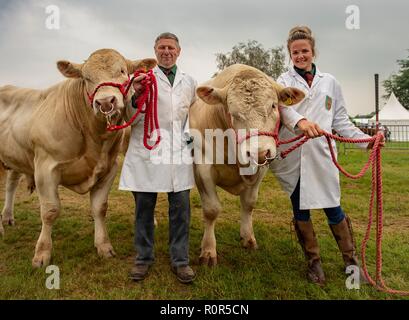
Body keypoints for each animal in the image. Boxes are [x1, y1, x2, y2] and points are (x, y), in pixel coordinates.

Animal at [0, 48, 155, 268]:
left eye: (123, 71)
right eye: (86, 78)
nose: (105, 102)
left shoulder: (109, 168)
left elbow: (99, 208)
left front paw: (104, 246)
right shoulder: (45, 168)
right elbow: (50, 211)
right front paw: (42, 254)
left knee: (11, 184)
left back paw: (7, 218)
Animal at [189, 63, 302, 266]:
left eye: (273, 105)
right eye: (232, 112)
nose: (259, 152)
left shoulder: (261, 169)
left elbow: (249, 204)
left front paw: (248, 238)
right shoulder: (203, 168)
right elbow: (211, 210)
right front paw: (208, 250)